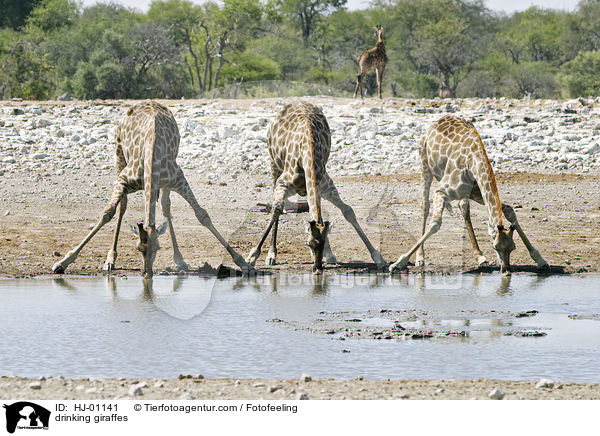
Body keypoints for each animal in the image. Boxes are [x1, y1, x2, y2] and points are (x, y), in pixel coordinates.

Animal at [50, 101, 250, 278]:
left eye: (158, 248)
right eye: (138, 248)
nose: (146, 273)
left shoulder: (178, 179)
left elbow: (202, 215)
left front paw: (243, 263)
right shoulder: (123, 179)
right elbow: (107, 213)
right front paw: (62, 263)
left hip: (165, 180)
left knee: (165, 207)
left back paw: (179, 259)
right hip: (119, 154)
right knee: (123, 206)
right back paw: (111, 258)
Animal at [246, 101, 386, 274]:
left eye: (323, 243)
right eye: (308, 244)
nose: (318, 269)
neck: (308, 156)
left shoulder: (325, 185)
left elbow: (347, 211)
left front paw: (377, 256)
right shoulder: (283, 183)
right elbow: (277, 210)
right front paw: (252, 257)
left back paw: (330, 256)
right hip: (274, 166)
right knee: (277, 208)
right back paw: (272, 254)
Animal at [390, 114, 548, 274]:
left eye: (513, 247)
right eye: (495, 247)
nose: (506, 270)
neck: (472, 162)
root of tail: (435, 123)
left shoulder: (478, 193)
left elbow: (509, 211)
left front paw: (540, 259)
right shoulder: (441, 191)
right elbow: (435, 223)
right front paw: (398, 263)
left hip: (465, 191)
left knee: (463, 206)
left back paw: (480, 257)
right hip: (424, 164)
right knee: (425, 206)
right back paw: (420, 257)